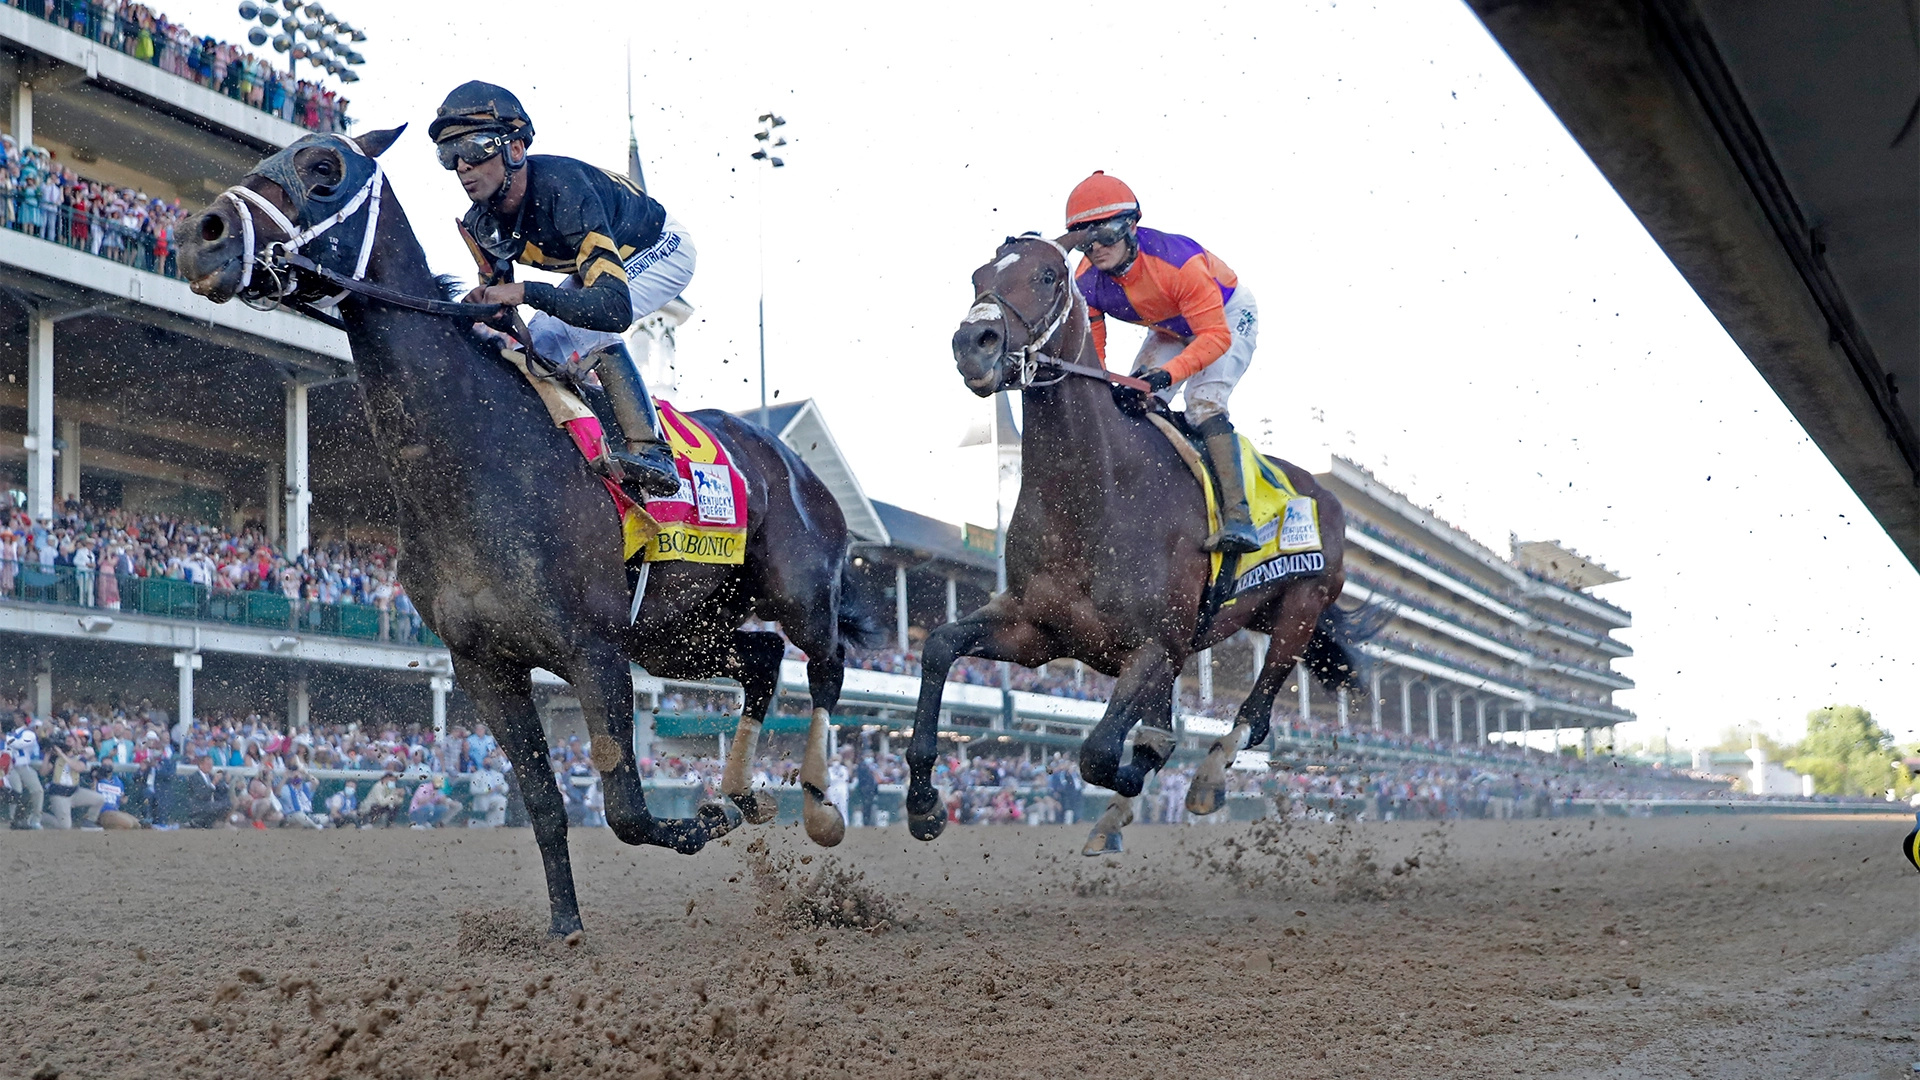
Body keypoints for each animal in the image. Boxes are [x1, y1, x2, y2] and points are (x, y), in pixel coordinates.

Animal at [176, 127, 879, 933]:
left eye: (324, 169)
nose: (202, 237)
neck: (474, 459)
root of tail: (796, 465)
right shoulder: (485, 666)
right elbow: (545, 802)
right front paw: (566, 925)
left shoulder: (593, 651)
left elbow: (626, 809)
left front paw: (701, 822)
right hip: (677, 633)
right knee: (761, 661)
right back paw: (741, 790)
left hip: (798, 592)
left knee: (823, 667)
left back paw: (819, 808)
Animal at [910, 233, 1374, 849]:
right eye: (977, 276)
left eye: (1047, 276)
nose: (972, 344)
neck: (1092, 497)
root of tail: (1327, 495)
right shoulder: (1036, 631)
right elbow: (939, 645)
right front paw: (923, 803)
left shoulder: (1156, 645)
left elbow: (1101, 753)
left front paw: (1142, 775)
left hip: (1299, 610)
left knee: (1255, 715)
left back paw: (1206, 779)